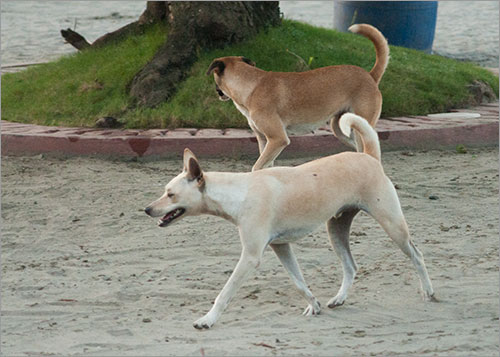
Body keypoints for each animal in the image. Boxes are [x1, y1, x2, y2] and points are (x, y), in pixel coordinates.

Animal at [144, 112, 434, 326]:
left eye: (170, 194)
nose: (147, 209)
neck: (239, 192)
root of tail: (368, 156)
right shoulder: (280, 247)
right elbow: (299, 282)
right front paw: (314, 305)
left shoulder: (251, 256)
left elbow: (225, 292)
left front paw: (207, 319)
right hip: (336, 229)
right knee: (351, 266)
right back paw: (338, 299)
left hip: (392, 225)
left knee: (417, 255)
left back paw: (429, 292)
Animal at [205, 24, 388, 171]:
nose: (217, 92)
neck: (252, 85)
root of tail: (370, 76)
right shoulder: (264, 141)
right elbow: (265, 165)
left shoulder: (278, 139)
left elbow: (257, 166)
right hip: (341, 130)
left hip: (360, 127)